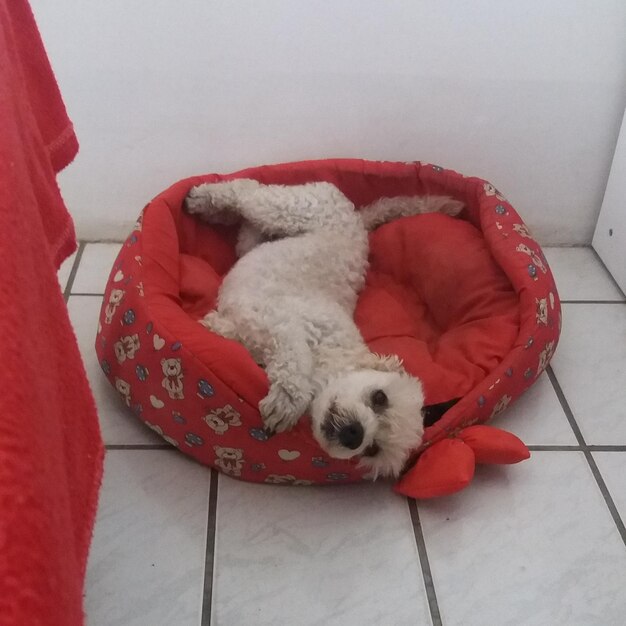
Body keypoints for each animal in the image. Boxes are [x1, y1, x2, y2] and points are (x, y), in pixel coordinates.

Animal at [183, 180, 460, 478]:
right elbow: (294, 358)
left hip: (261, 236)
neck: (331, 354)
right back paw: (204, 199)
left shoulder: (260, 324)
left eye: (373, 449)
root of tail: (357, 220)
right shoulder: (282, 322)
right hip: (294, 209)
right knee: (248, 190)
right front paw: (287, 402)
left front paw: (216, 327)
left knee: (247, 232)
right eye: (380, 398)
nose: (354, 434)